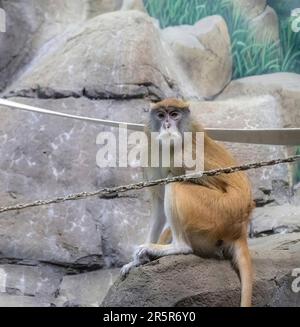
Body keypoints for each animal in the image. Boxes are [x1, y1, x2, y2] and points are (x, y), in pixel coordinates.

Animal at [120, 98, 254, 308]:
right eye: (161, 115)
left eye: (174, 114)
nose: (167, 125)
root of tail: (240, 229)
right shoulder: (150, 150)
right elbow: (158, 203)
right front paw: (136, 261)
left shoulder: (184, 154)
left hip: (220, 211)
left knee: (175, 184)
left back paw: (179, 246)